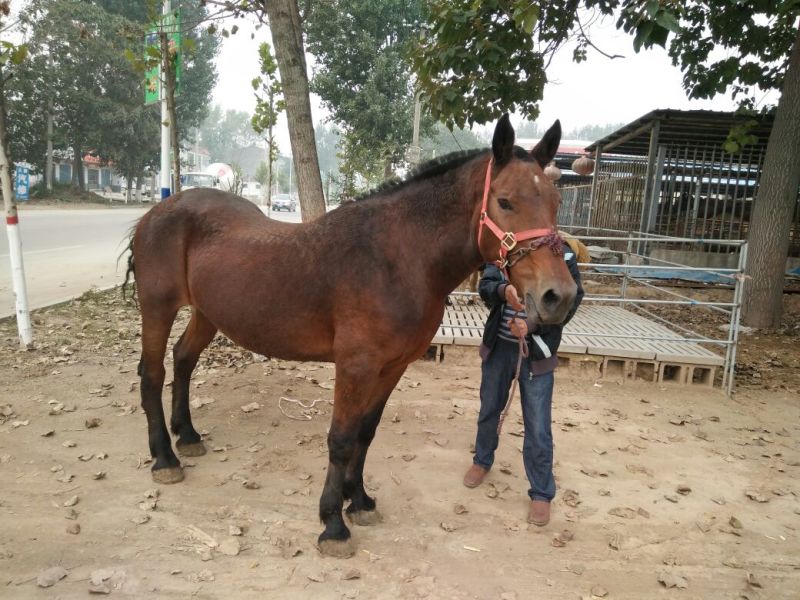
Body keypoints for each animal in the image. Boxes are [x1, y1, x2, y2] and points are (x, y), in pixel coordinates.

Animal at [125, 114, 577, 558]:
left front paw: (358, 501)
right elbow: (341, 439)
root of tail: (158, 210)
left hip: (207, 313)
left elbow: (365, 432)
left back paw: (187, 436)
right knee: (152, 373)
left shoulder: (392, 367)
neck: (397, 258)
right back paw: (164, 459)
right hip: (158, 307)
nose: (559, 296)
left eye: (556, 203)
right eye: (505, 201)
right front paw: (332, 524)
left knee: (183, 360)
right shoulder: (355, 366)